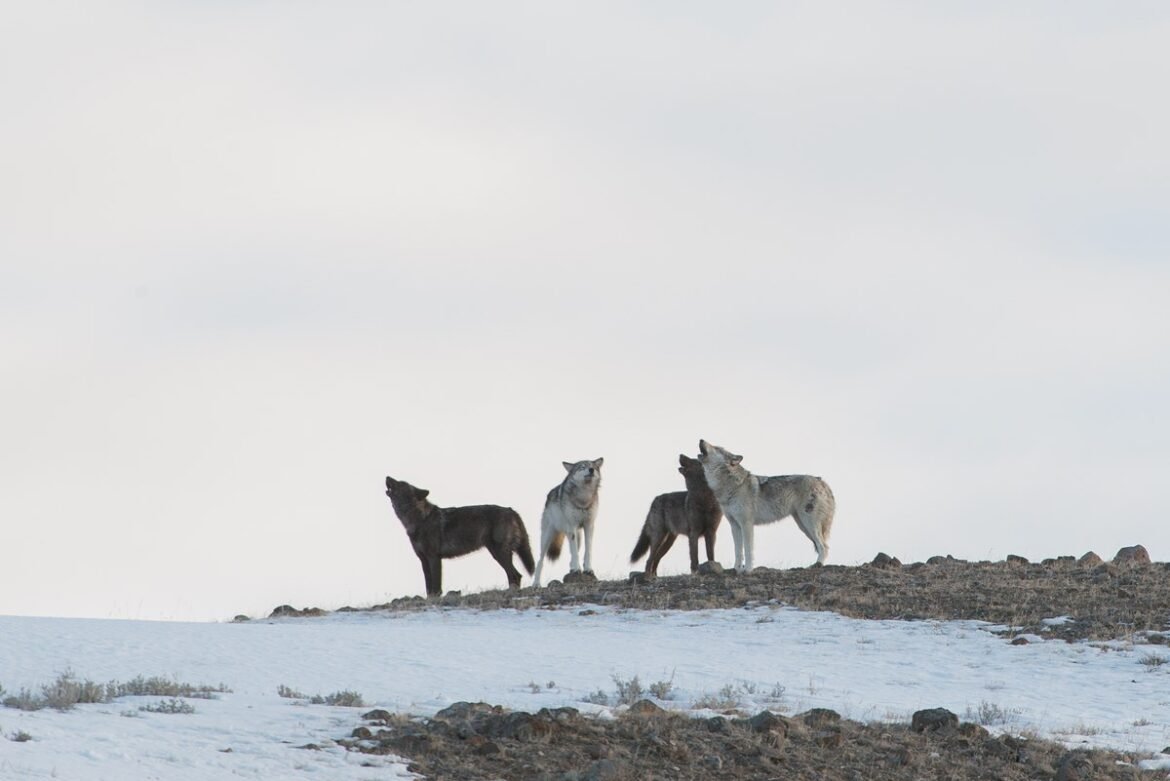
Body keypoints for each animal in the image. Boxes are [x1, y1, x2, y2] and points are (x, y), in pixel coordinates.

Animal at [384, 476, 535, 597]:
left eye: (400, 483)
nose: (387, 476)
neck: (420, 519)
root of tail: (511, 510)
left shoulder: (434, 558)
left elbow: (436, 586)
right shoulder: (423, 560)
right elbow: (428, 587)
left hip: (499, 553)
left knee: (515, 575)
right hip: (497, 553)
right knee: (514, 575)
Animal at [531, 458, 603, 588]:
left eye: (593, 466)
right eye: (582, 467)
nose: (591, 470)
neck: (583, 497)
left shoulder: (589, 526)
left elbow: (587, 550)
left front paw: (588, 569)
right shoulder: (572, 526)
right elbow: (575, 553)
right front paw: (577, 569)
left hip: (577, 536)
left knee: (573, 552)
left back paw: (571, 567)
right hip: (548, 537)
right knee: (540, 560)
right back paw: (536, 583)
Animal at [696, 440, 835, 573]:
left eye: (717, 448)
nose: (701, 439)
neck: (731, 486)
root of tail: (821, 481)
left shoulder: (746, 524)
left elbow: (748, 549)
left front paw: (748, 570)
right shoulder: (735, 526)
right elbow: (738, 551)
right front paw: (736, 569)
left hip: (809, 524)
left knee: (824, 546)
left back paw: (817, 565)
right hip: (803, 526)